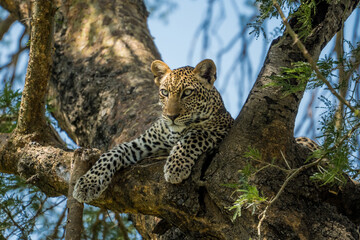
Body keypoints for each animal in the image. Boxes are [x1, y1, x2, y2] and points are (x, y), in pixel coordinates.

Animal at [74, 58, 236, 202]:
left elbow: (194, 136)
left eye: (187, 93)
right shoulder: (143, 144)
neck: (174, 132)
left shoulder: (222, 129)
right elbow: (113, 152)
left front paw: (175, 167)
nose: (171, 116)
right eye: (164, 92)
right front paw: (88, 183)